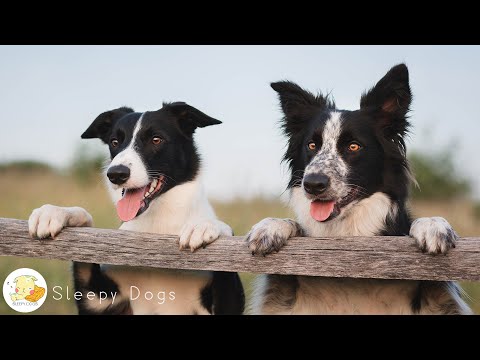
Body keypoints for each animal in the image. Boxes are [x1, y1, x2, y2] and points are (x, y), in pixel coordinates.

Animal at [28, 101, 246, 316]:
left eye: (156, 140)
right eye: (115, 142)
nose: (116, 174)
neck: (157, 226)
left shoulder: (228, 306)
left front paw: (204, 226)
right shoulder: (97, 302)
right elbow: (85, 223)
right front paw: (54, 212)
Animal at [248, 64, 472, 316]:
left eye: (354, 146)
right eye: (312, 145)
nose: (312, 184)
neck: (347, 234)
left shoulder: (437, 300)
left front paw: (432, 225)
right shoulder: (281, 299)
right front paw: (271, 226)